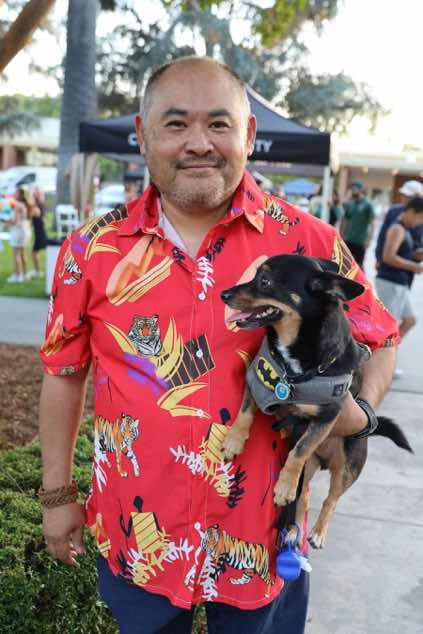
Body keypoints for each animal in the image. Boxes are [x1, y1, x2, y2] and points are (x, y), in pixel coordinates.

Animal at [221, 255, 413, 549]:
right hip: (311, 468)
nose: (224, 294)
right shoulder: (257, 379)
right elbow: (244, 413)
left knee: (330, 498)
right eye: (254, 276)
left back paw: (318, 532)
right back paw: (292, 530)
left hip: (347, 467)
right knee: (304, 498)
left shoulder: (328, 416)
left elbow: (300, 450)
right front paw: (234, 441)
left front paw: (284, 485)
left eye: (264, 282)